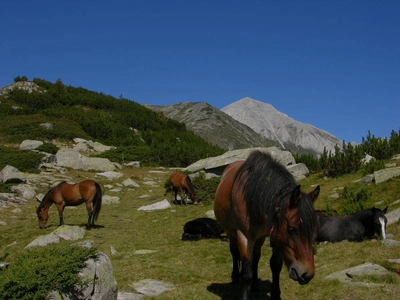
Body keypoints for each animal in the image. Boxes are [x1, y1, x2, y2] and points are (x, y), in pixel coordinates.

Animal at [214, 152, 320, 300]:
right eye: (292, 229)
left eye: (314, 231)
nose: (307, 275)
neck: (255, 196)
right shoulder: (244, 236)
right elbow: (246, 273)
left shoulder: (275, 236)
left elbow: (275, 265)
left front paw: (275, 294)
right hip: (231, 232)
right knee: (234, 252)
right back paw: (235, 277)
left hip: (260, 237)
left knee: (256, 257)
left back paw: (255, 285)